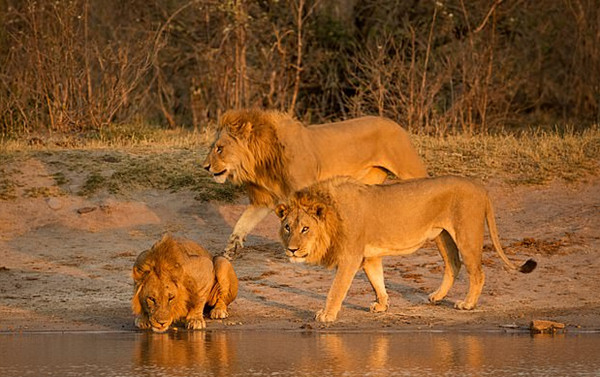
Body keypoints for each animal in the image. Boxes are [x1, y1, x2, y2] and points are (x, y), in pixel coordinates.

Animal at [204, 107, 428, 258]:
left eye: (219, 149)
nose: (205, 167)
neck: (263, 161)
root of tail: (395, 124)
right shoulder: (265, 199)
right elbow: (242, 223)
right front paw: (229, 250)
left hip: (408, 168)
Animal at [274, 175, 536, 322]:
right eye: (287, 227)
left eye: (305, 228)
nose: (292, 250)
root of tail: (481, 187)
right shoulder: (369, 256)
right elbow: (377, 281)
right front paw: (381, 305)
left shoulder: (350, 256)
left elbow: (336, 289)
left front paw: (327, 315)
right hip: (442, 235)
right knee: (454, 264)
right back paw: (436, 297)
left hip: (466, 234)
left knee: (477, 272)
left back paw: (467, 304)